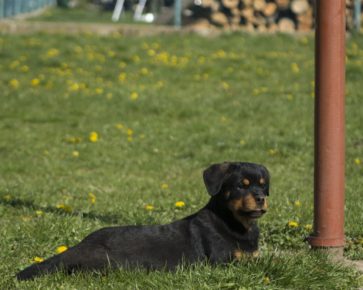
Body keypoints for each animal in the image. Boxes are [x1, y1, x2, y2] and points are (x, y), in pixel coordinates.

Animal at [17, 161, 270, 280]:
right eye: (241, 186)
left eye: (263, 185)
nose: (261, 198)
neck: (235, 224)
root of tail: (77, 246)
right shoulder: (222, 262)